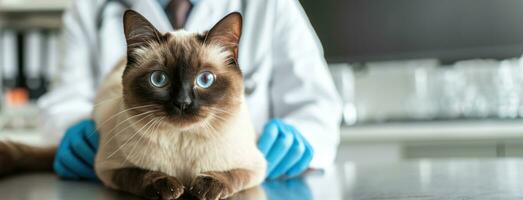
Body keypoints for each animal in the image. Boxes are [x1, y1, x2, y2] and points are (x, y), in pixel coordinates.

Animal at [0, 9, 266, 200]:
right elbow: (139, 175)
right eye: (159, 79)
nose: (182, 103)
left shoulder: (256, 167)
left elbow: (231, 176)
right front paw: (168, 188)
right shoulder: (109, 169)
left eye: (205, 80)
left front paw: (205, 189)